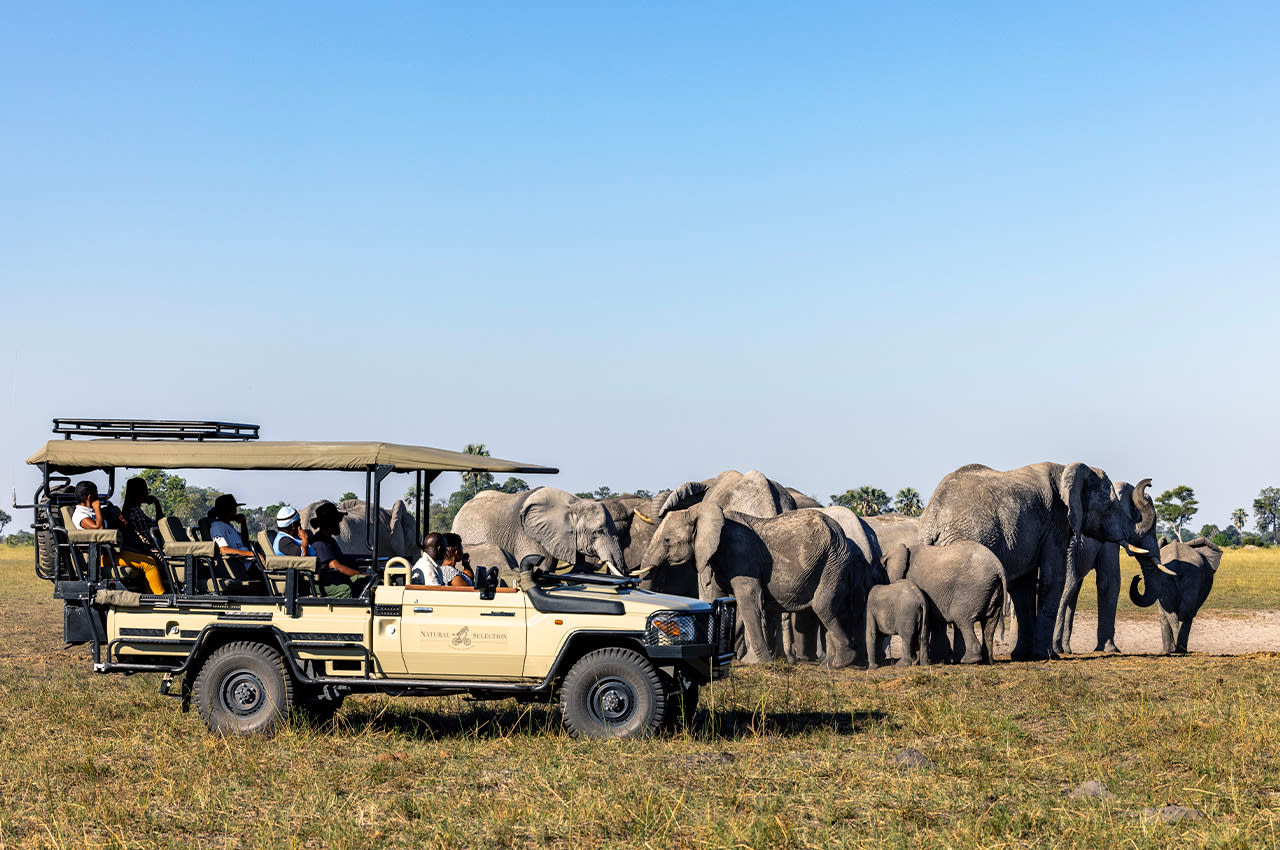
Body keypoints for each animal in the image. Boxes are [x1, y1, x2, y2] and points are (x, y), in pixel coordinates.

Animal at [639, 504, 862, 667]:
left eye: (667, 540)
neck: (700, 511)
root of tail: (841, 533)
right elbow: (723, 602)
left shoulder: (742, 556)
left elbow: (749, 601)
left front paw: (760, 663)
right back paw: (830, 663)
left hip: (833, 562)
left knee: (822, 607)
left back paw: (841, 662)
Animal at [918, 462, 1167, 661]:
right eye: (1109, 508)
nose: (1150, 483)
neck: (1067, 469)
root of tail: (932, 522)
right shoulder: (1055, 521)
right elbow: (1062, 579)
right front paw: (1047, 655)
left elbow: (1024, 587)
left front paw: (1022, 655)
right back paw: (965, 659)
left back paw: (942, 659)